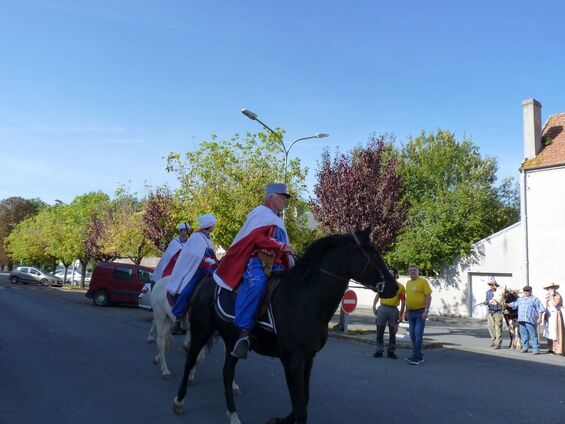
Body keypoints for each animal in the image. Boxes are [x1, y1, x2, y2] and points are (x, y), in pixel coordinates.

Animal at [172, 230, 396, 422]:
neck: (306, 299)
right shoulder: (293, 360)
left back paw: (234, 415)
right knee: (190, 361)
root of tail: (206, 280)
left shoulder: (308, 358)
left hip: (231, 340)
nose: (393, 287)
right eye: (372, 253)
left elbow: (302, 403)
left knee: (227, 372)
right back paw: (179, 401)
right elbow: (300, 408)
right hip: (201, 330)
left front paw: (277, 420)